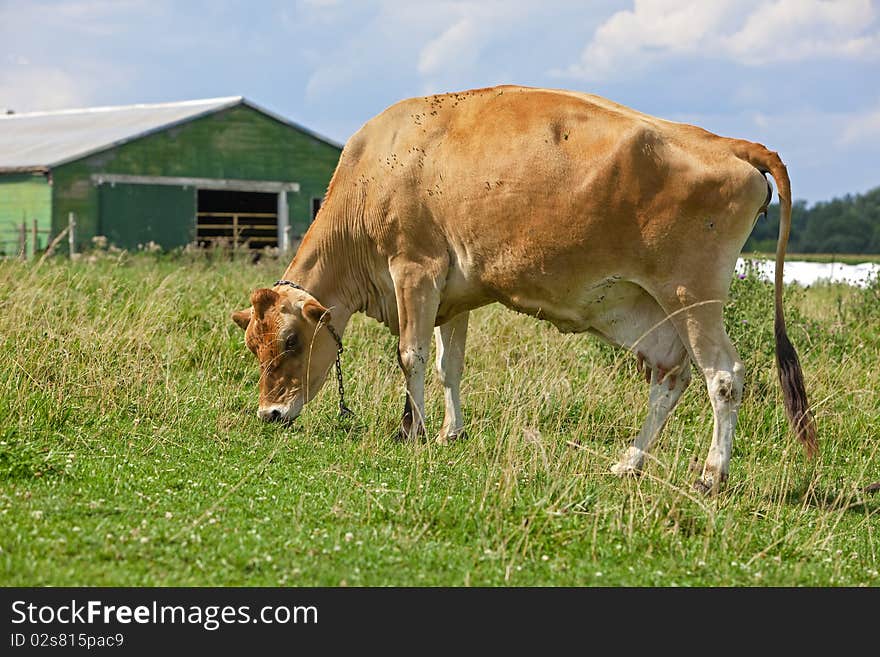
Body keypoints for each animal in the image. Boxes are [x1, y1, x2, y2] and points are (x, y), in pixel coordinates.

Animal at [232, 84, 820, 490]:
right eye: (252, 346)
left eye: (291, 341)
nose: (270, 414)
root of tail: (730, 143)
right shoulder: (452, 293)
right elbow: (448, 365)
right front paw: (449, 432)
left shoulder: (414, 269)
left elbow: (410, 355)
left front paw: (411, 432)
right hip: (643, 310)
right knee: (670, 375)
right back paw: (628, 462)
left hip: (692, 297)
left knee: (723, 377)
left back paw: (710, 475)